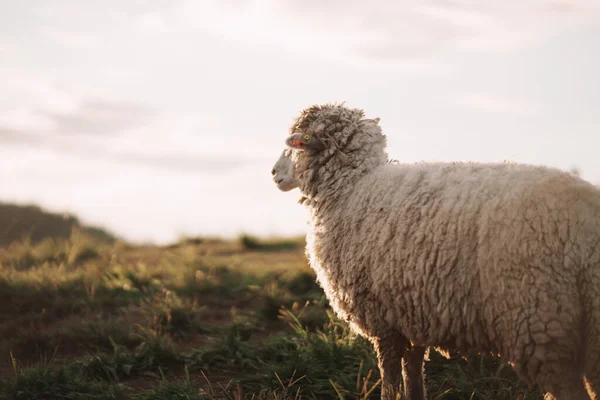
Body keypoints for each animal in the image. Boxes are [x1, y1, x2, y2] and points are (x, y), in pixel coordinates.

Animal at [270, 103, 600, 400]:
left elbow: (390, 377)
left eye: (294, 144)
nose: (273, 173)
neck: (351, 188)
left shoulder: (384, 320)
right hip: (589, 326)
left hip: (541, 322)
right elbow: (414, 371)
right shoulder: (413, 310)